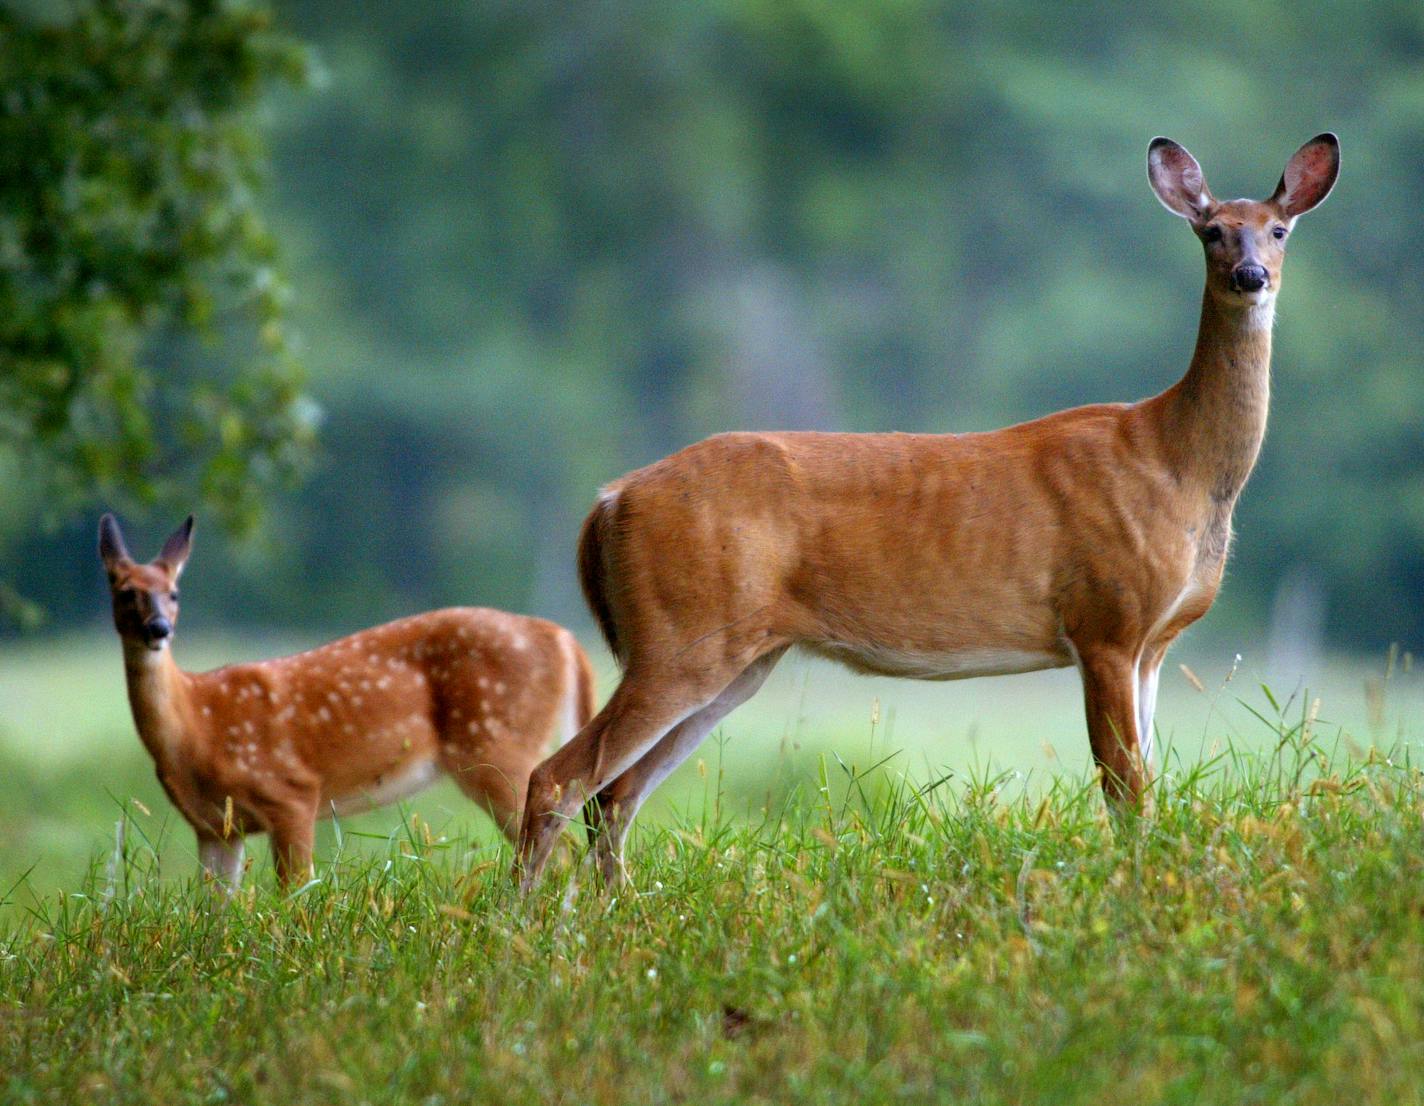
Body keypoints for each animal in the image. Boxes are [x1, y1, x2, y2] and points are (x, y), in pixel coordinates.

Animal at [97, 512, 592, 882]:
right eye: (124, 593)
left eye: (174, 592)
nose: (159, 629)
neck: (197, 729)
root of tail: (563, 638)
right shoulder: (215, 828)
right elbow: (216, 912)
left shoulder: (291, 791)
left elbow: (295, 891)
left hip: (499, 745)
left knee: (560, 848)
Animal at [518, 131, 1338, 888]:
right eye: (1212, 230)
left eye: (1278, 229)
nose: (1251, 276)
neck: (1178, 464)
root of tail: (611, 500)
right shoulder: (1105, 620)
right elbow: (1125, 791)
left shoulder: (1154, 644)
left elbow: (1149, 789)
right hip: (680, 633)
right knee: (559, 777)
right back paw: (529, 925)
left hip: (735, 657)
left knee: (614, 795)